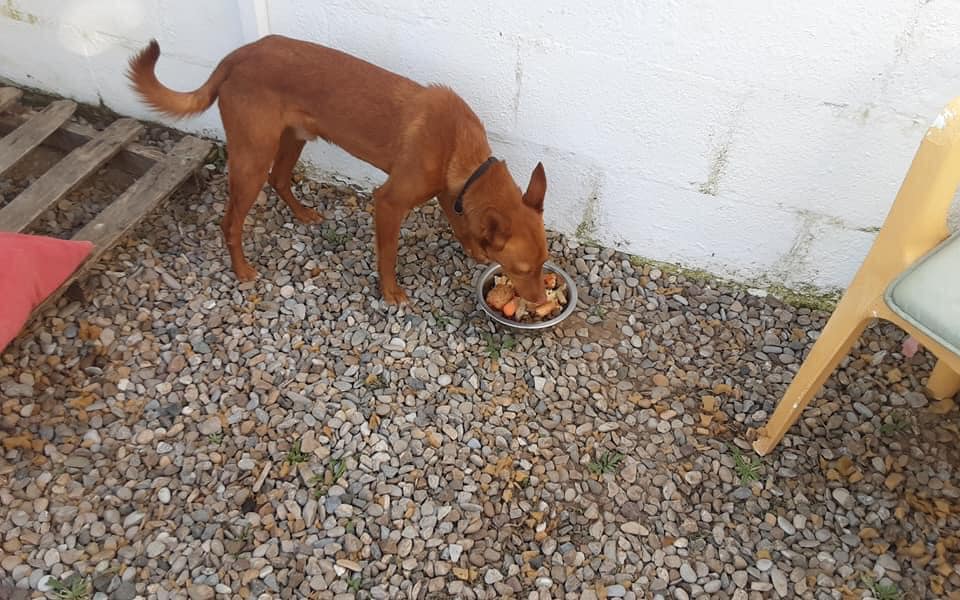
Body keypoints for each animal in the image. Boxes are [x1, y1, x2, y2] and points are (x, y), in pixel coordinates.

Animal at [127, 35, 549, 305]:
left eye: (544, 264)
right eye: (522, 269)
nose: (539, 300)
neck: (460, 148)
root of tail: (238, 55)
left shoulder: (450, 193)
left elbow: (462, 226)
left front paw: (475, 250)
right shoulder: (389, 202)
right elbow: (388, 253)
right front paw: (390, 292)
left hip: (292, 139)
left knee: (278, 179)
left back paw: (302, 214)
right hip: (251, 158)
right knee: (230, 221)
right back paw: (242, 269)